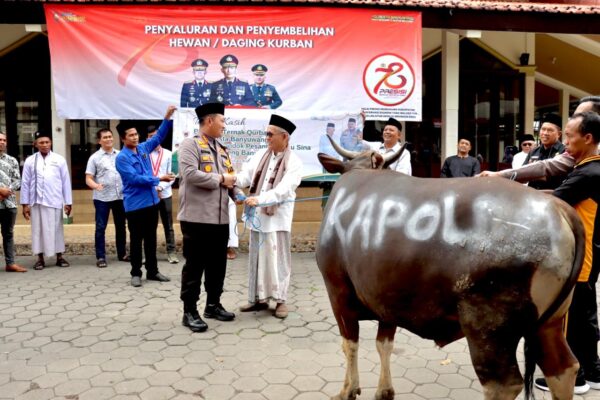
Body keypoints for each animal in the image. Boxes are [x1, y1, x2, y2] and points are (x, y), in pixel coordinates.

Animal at [318, 138, 584, 400]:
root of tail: (560, 209)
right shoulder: (385, 300)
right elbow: (384, 344)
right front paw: (384, 391)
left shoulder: (338, 291)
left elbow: (349, 344)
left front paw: (347, 390)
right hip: (549, 323)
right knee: (563, 368)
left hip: (488, 327)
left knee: (503, 384)